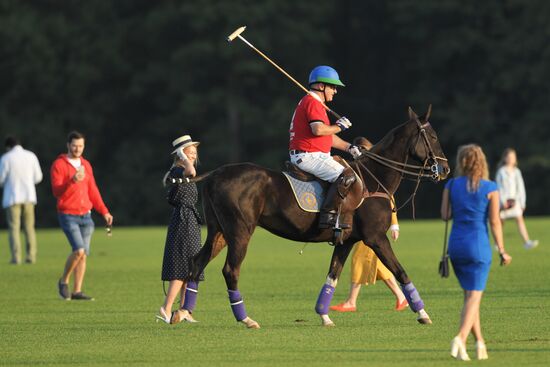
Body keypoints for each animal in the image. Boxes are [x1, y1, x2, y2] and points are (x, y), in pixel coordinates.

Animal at [192, 108, 450, 330]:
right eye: (433, 136)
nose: (445, 169)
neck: (374, 179)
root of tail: (215, 174)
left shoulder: (347, 240)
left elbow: (332, 276)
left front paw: (324, 316)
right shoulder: (376, 237)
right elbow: (401, 272)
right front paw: (423, 314)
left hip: (218, 231)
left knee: (198, 261)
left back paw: (185, 314)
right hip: (240, 231)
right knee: (230, 270)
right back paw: (246, 319)